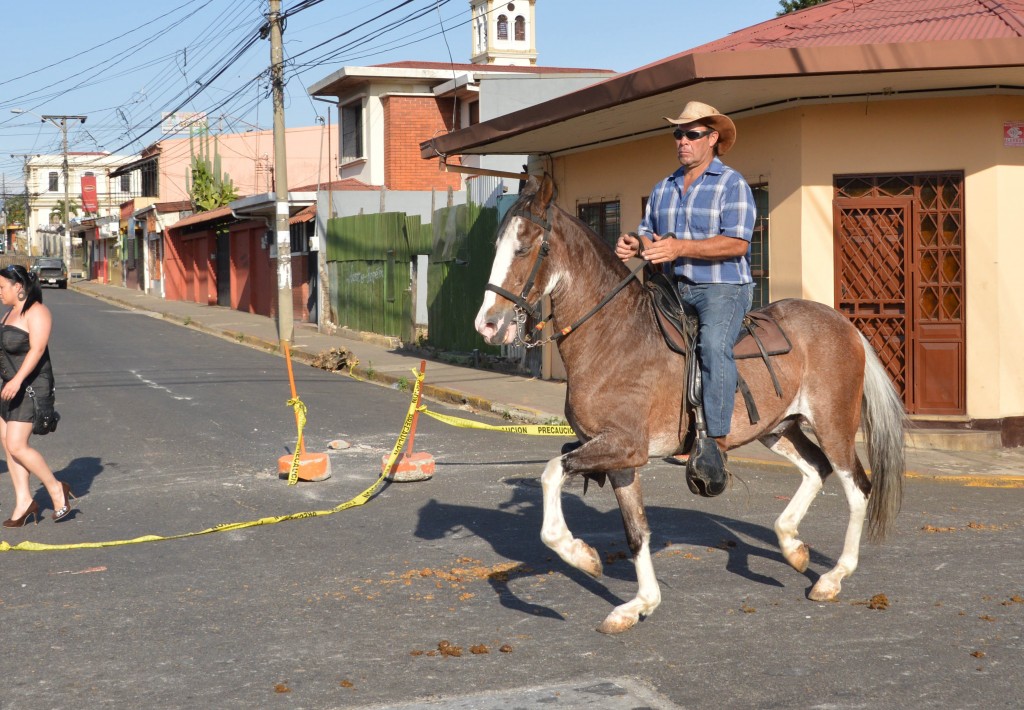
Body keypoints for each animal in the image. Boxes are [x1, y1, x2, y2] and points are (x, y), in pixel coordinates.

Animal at [475, 174, 909, 635]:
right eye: (497, 245)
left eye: (524, 247)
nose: (487, 324)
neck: (614, 337)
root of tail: (845, 325)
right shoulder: (620, 459)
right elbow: (636, 531)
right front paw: (639, 604)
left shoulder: (623, 446)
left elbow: (552, 473)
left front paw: (582, 556)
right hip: (779, 428)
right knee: (815, 469)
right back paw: (792, 546)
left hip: (833, 424)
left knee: (856, 487)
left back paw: (833, 576)